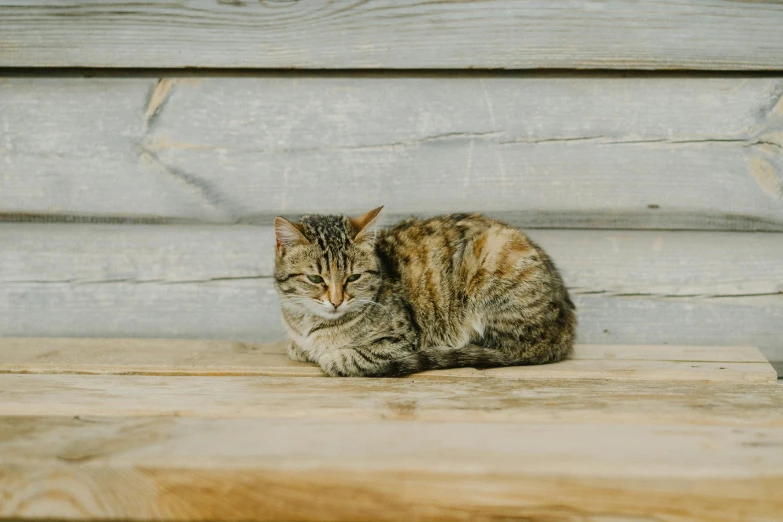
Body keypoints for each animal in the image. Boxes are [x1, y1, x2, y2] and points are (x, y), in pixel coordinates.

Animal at [274, 205, 576, 376]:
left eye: (354, 277)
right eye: (315, 278)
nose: (336, 301)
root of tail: (564, 330)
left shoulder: (403, 338)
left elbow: (361, 354)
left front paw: (333, 357)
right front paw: (301, 348)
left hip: (493, 259)